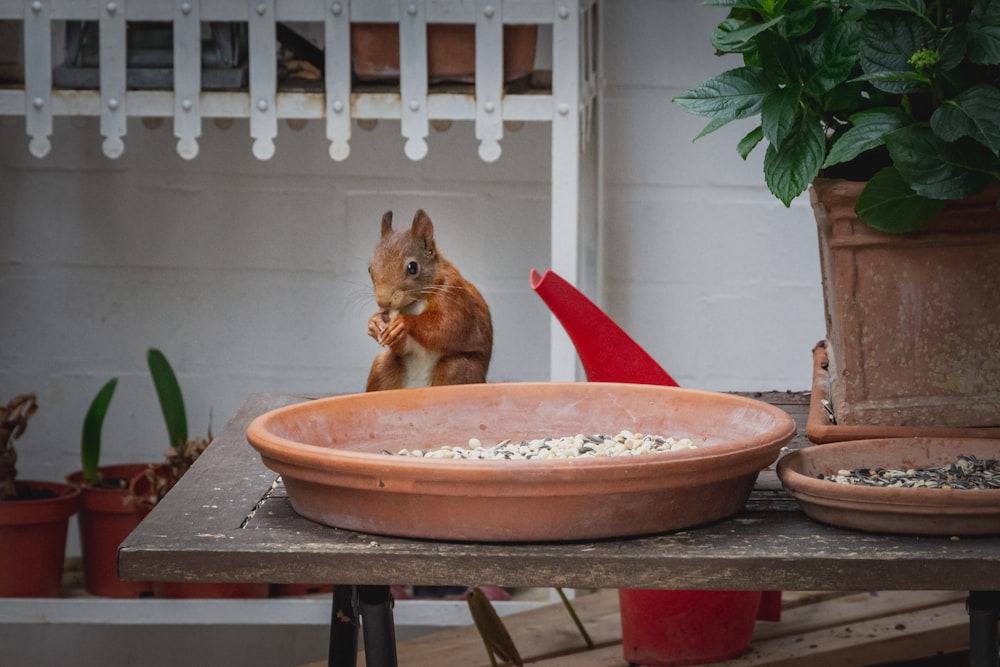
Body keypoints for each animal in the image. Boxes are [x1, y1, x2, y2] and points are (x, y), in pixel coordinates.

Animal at [366, 210, 494, 392]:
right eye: (369, 269)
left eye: (412, 267)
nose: (383, 302)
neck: (415, 302)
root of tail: (419, 388)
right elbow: (403, 347)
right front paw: (375, 322)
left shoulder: (454, 296)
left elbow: (448, 326)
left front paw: (404, 323)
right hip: (382, 367)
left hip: (458, 368)